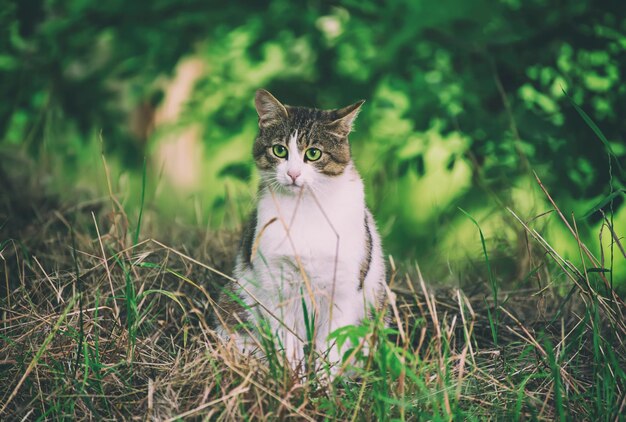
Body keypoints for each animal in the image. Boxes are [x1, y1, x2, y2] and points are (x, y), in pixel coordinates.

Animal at [217, 90, 388, 376]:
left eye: (314, 153)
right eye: (279, 150)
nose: (293, 173)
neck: (305, 209)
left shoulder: (340, 292)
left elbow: (329, 350)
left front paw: (320, 384)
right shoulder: (277, 288)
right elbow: (287, 344)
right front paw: (290, 379)